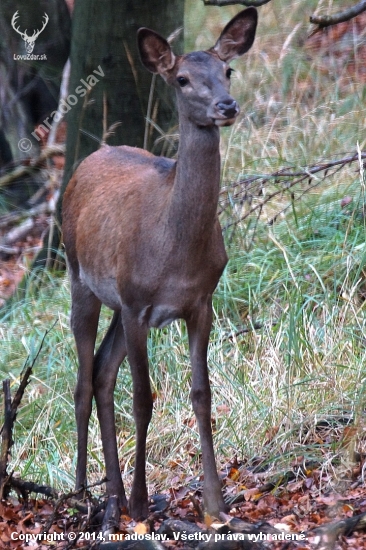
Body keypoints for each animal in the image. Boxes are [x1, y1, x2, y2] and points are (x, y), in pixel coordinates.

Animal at [62, 7, 258, 520]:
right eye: (183, 79)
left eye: (228, 70)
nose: (227, 106)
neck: (174, 251)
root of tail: (88, 158)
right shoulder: (137, 304)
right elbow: (143, 399)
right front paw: (141, 504)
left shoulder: (200, 302)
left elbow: (202, 395)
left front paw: (215, 503)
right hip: (79, 276)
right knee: (83, 381)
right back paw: (85, 493)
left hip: (117, 301)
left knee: (102, 371)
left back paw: (110, 493)